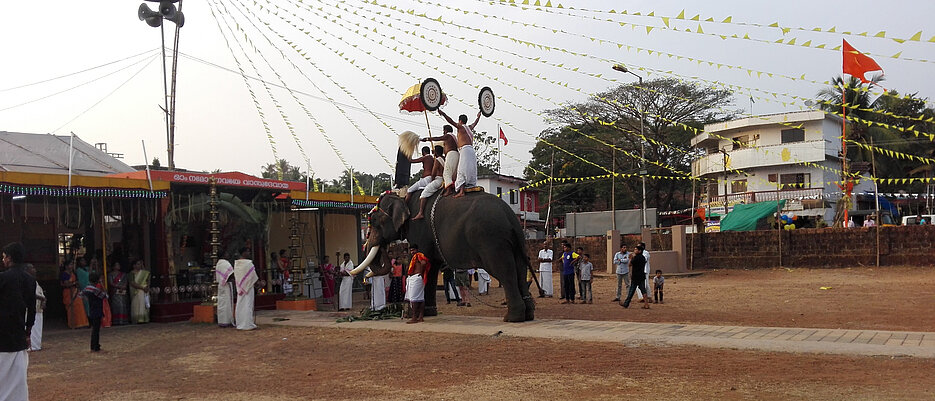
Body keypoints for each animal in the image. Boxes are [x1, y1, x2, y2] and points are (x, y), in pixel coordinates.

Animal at [350, 188, 536, 322]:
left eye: (374, 221)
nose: (382, 246)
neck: (403, 196)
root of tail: (510, 217)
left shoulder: (419, 230)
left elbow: (422, 261)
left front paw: (411, 314)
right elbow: (431, 268)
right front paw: (429, 312)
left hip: (491, 240)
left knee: (505, 271)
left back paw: (512, 318)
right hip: (515, 242)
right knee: (519, 269)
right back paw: (528, 315)